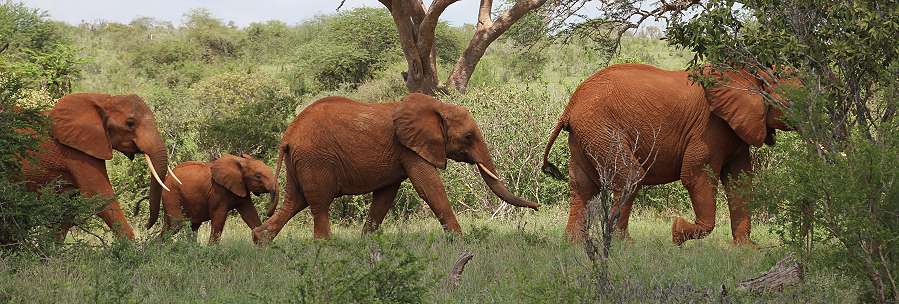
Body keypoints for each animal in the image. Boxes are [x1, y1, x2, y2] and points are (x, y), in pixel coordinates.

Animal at [18, 92, 171, 240]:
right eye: (130, 123)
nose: (145, 225)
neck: (105, 100)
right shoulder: (77, 152)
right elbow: (99, 196)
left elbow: (68, 208)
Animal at [146, 154, 280, 245]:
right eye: (258, 176)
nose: (269, 213)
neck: (240, 161)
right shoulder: (218, 191)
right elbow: (219, 217)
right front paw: (212, 249)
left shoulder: (242, 189)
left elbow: (250, 214)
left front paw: (263, 244)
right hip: (171, 193)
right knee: (176, 223)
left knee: (188, 225)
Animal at [250, 92, 536, 242]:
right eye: (468, 137)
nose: (537, 206)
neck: (436, 106)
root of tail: (288, 136)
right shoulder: (411, 148)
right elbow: (429, 187)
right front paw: (459, 241)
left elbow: (385, 197)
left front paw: (366, 243)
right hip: (315, 160)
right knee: (319, 204)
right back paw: (324, 247)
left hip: (300, 162)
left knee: (295, 201)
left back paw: (260, 241)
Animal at [540, 63, 796, 245]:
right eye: (791, 104)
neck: (748, 74)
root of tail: (571, 104)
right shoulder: (709, 127)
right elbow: (696, 175)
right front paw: (677, 232)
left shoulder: (737, 130)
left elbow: (740, 181)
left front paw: (747, 248)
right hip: (601, 128)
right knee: (631, 177)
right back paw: (624, 245)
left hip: (585, 134)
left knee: (582, 186)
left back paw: (573, 244)